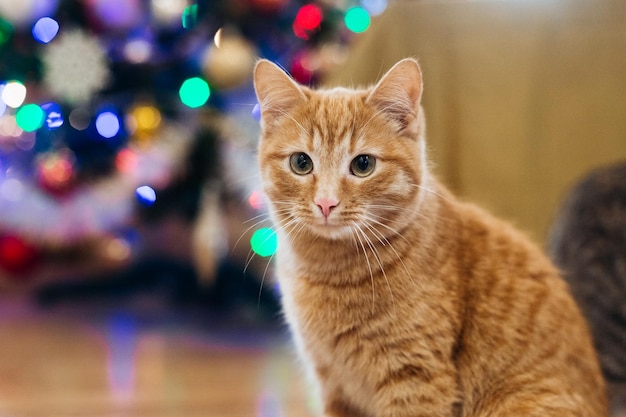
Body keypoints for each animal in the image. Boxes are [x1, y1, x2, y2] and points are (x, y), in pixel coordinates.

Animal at [251, 58, 608, 416]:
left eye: (363, 164)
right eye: (301, 162)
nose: (326, 203)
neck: (326, 268)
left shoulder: (415, 377)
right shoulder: (334, 386)